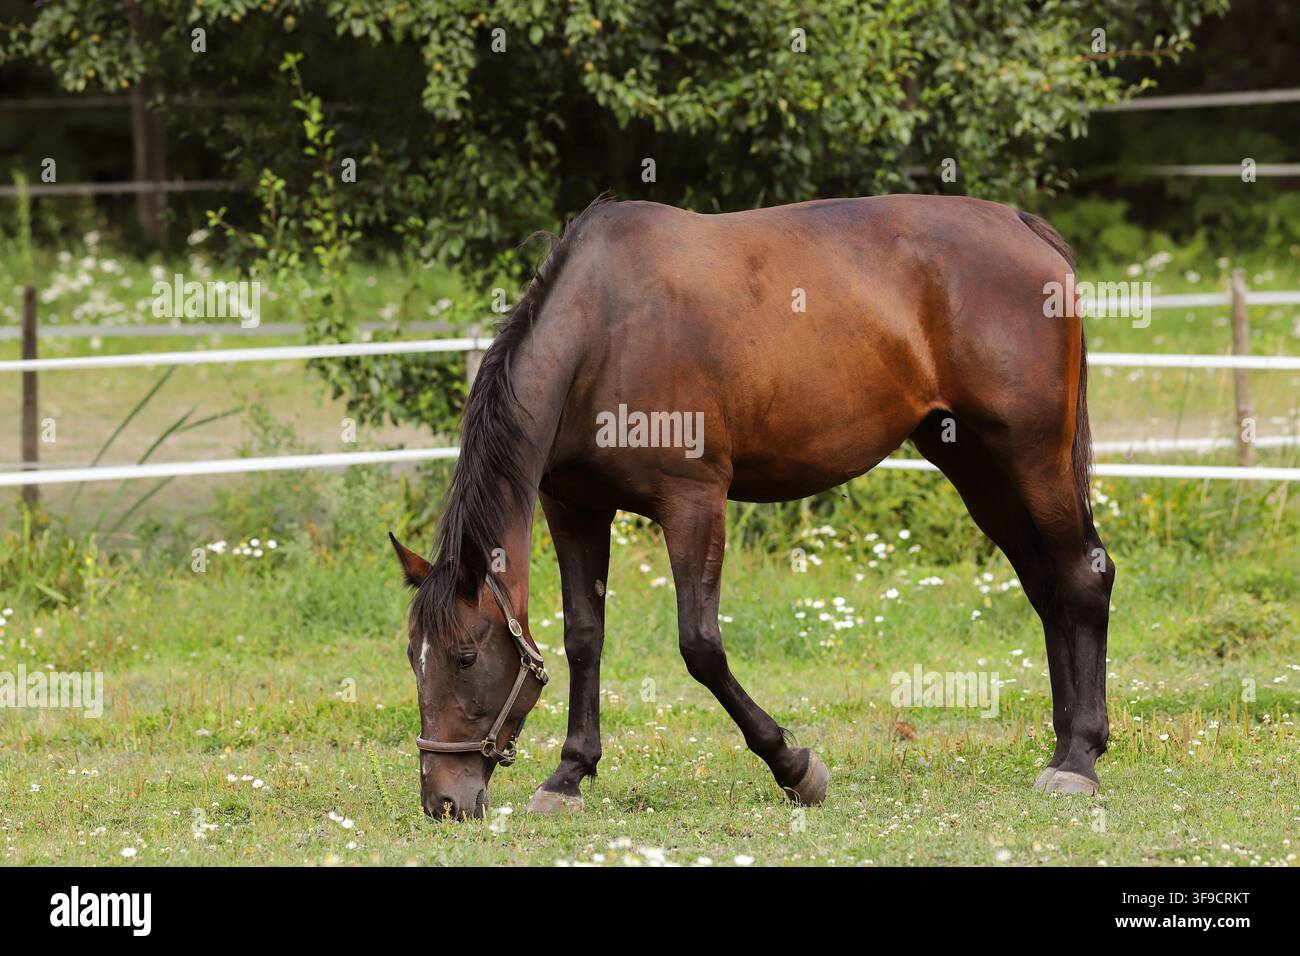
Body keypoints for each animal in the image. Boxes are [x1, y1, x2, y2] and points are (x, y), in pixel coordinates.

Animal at [388, 194, 1115, 820]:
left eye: (464, 657)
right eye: (412, 658)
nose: (443, 800)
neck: (605, 332)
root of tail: (1022, 227)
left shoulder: (694, 502)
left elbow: (700, 647)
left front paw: (794, 765)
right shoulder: (575, 509)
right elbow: (583, 638)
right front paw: (570, 774)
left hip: (1031, 458)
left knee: (1083, 575)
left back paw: (1078, 759)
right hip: (976, 465)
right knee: (1046, 584)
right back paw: (1066, 744)